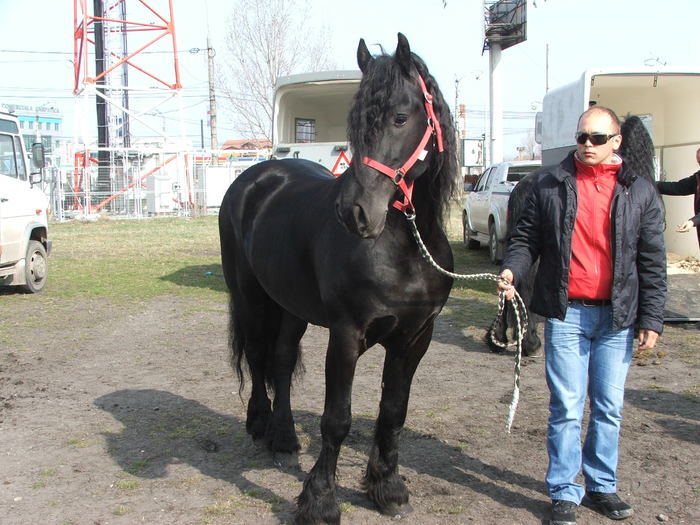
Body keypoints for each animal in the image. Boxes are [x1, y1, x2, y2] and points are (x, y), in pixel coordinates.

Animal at [220, 33, 460, 524]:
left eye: (400, 117)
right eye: (355, 121)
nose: (354, 212)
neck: (404, 247)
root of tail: (253, 176)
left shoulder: (415, 338)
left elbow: (393, 412)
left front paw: (388, 488)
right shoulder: (346, 334)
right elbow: (338, 419)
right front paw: (321, 500)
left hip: (291, 307)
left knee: (280, 361)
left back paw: (285, 439)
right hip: (250, 298)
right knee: (256, 357)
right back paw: (260, 425)